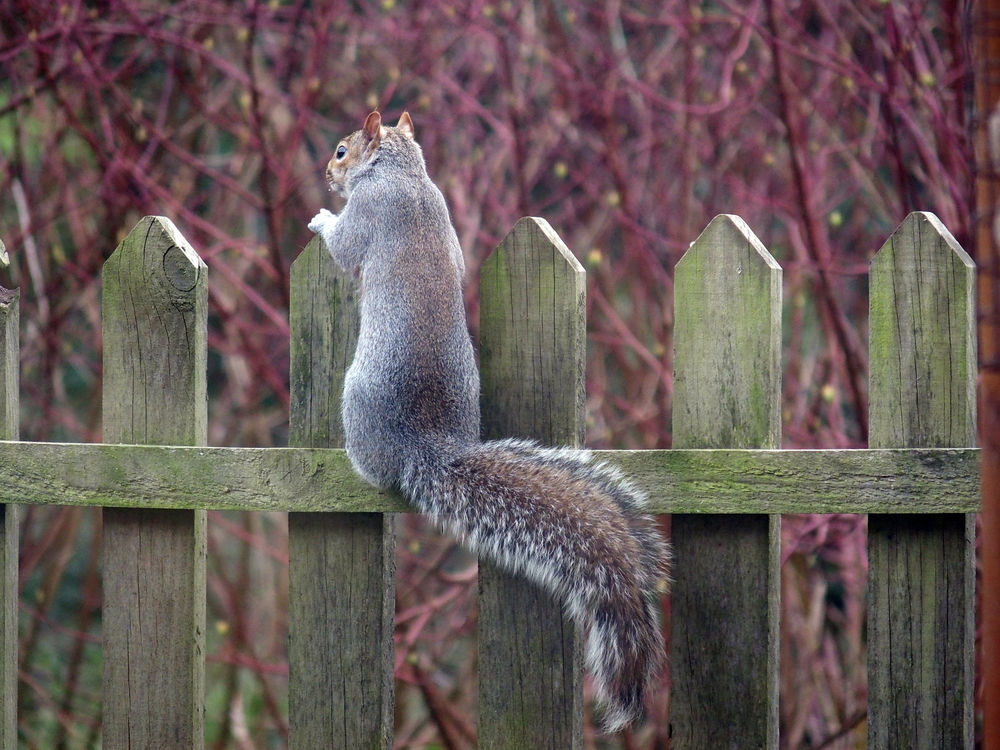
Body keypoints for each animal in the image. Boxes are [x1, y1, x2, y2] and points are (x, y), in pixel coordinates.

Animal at [308, 110, 669, 733]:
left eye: (341, 151)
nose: (327, 177)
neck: (403, 172)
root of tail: (426, 445)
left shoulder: (369, 213)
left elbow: (345, 244)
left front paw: (320, 218)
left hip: (354, 401)